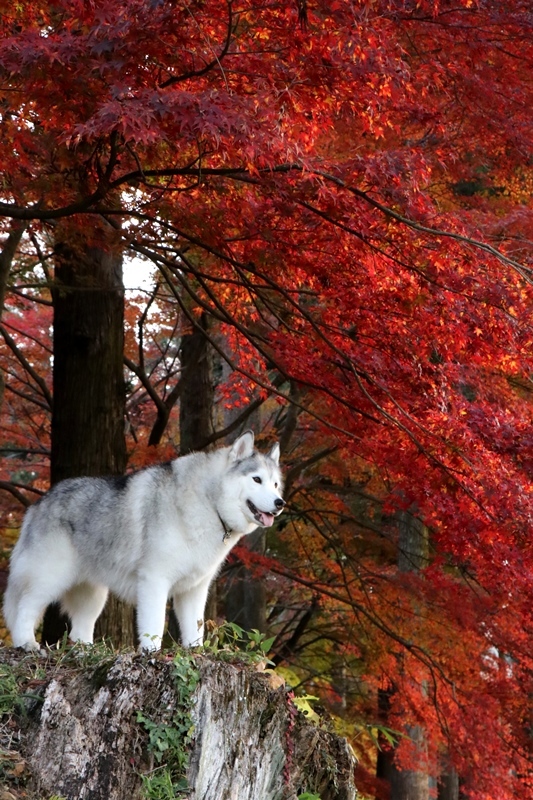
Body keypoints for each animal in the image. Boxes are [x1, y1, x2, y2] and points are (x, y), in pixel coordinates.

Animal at [3, 432, 282, 648]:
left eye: (276, 484)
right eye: (257, 479)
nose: (280, 503)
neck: (209, 502)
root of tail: (39, 503)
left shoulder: (194, 590)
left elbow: (195, 633)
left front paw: (196, 655)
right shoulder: (154, 581)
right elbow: (154, 628)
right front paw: (151, 655)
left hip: (93, 597)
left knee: (79, 631)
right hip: (50, 579)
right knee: (24, 609)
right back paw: (26, 644)